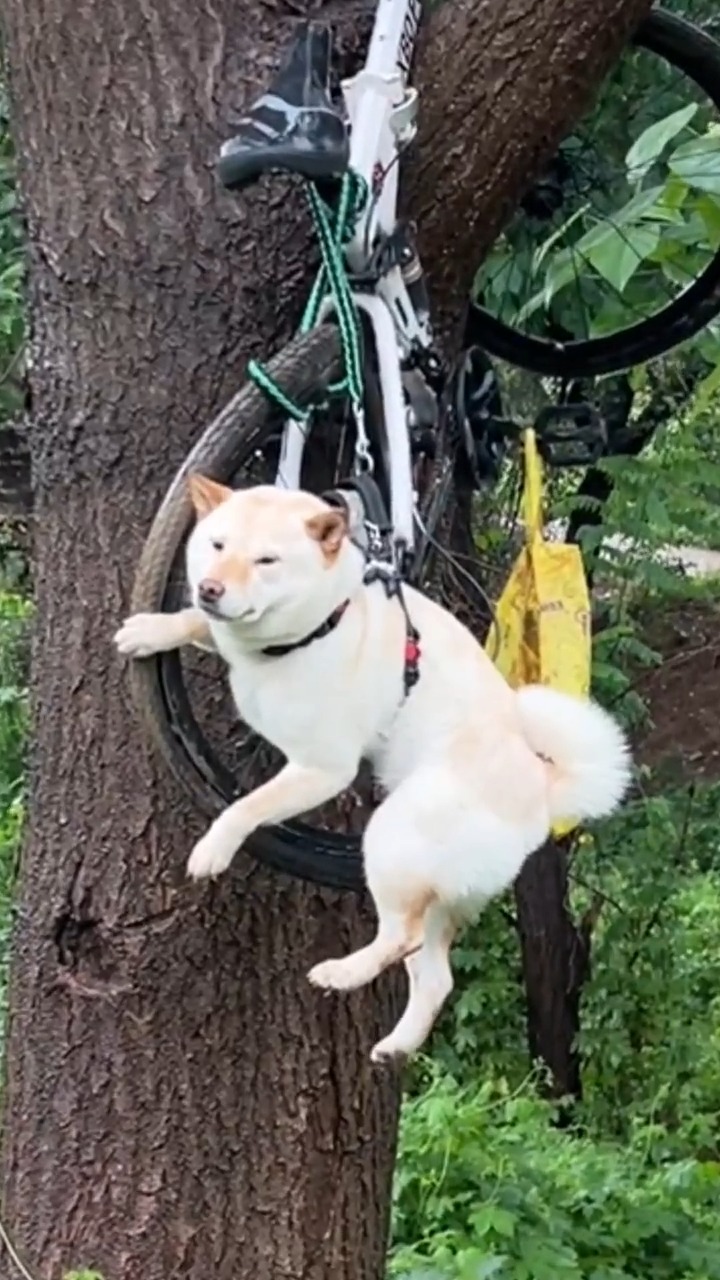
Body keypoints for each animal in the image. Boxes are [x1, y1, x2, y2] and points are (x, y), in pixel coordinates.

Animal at [116, 478, 627, 1059]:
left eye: (267, 560)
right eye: (217, 544)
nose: (209, 588)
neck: (318, 626)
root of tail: (542, 790)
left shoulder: (321, 767)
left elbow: (246, 806)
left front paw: (213, 849)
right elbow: (198, 625)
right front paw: (152, 629)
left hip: (391, 843)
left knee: (400, 936)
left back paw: (341, 973)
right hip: (438, 889)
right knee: (435, 975)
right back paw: (396, 1044)